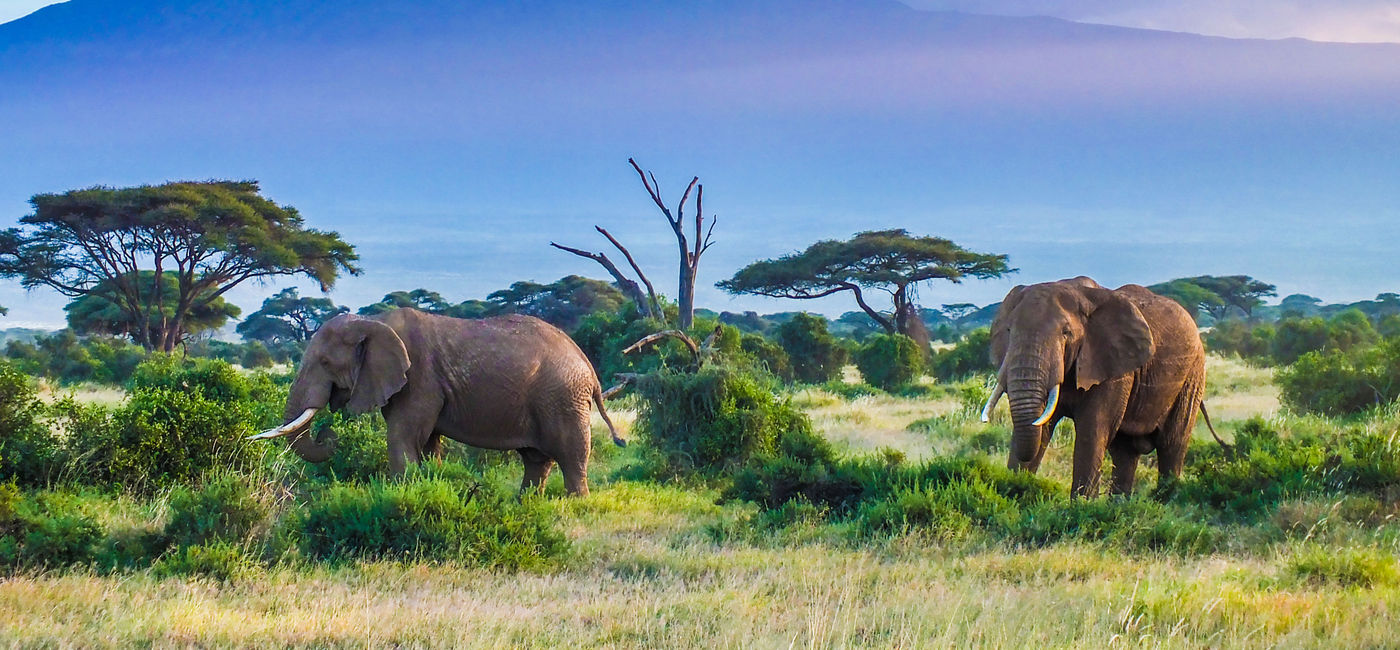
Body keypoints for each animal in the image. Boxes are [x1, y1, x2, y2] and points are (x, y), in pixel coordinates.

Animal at [249, 306, 627, 495]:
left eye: (326, 363)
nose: (329, 435)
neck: (373, 322)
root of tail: (589, 367)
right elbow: (427, 442)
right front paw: (429, 484)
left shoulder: (419, 378)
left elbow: (402, 437)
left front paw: (402, 495)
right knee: (536, 459)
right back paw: (526, 504)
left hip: (563, 397)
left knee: (571, 454)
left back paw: (575, 504)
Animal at [974, 275, 1215, 498]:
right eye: (1008, 331)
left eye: (1066, 333)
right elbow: (1041, 426)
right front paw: (1014, 491)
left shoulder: (1113, 365)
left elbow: (1093, 429)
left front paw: (1080, 507)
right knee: (1125, 451)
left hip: (1193, 376)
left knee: (1171, 445)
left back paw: (1164, 500)